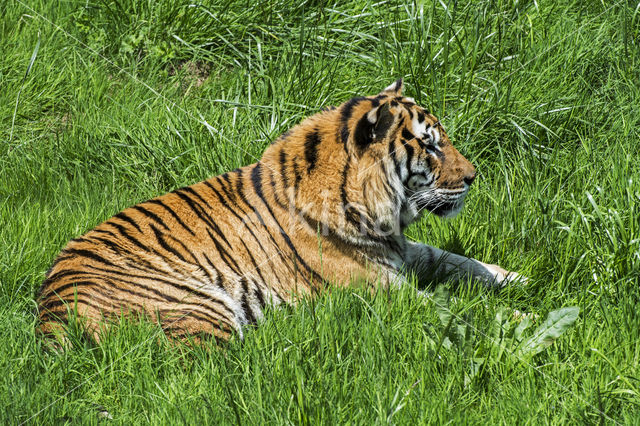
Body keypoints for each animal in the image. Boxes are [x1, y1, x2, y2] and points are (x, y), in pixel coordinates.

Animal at [36, 80, 524, 344]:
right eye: (429, 144)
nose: (474, 176)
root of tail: (50, 312)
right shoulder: (384, 289)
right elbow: (461, 312)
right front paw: (525, 319)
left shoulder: (402, 252)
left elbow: (458, 261)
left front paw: (516, 278)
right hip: (198, 305)